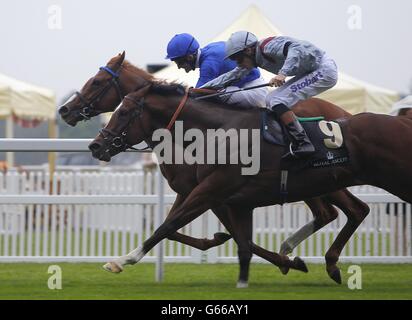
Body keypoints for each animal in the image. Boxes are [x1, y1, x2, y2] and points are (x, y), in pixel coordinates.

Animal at [90, 83, 412, 288]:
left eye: (122, 112)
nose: (95, 146)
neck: (218, 132)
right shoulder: (227, 198)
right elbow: (239, 241)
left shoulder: (212, 190)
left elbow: (168, 226)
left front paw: (122, 260)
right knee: (354, 211)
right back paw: (321, 260)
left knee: (349, 211)